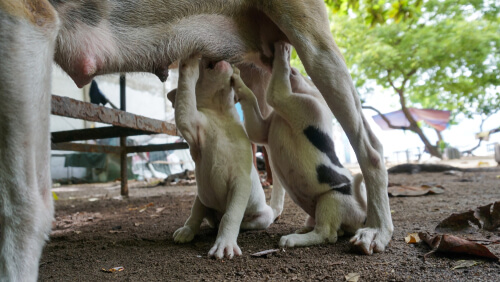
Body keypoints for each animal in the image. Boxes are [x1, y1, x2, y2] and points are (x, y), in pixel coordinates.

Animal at [170, 56, 276, 258]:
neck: (220, 112)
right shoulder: (192, 126)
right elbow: (186, 99)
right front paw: (189, 60)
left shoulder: (241, 182)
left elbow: (231, 215)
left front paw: (224, 244)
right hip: (202, 195)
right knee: (196, 213)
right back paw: (187, 231)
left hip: (264, 215)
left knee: (240, 220)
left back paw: (241, 226)